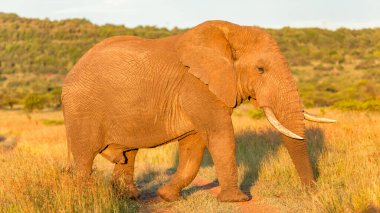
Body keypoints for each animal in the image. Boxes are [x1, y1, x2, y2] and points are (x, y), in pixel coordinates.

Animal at [61, 20, 336, 202]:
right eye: (261, 69)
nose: (310, 191)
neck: (231, 32)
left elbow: (194, 145)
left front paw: (168, 197)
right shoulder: (196, 86)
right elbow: (220, 133)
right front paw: (237, 200)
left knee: (128, 155)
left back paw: (129, 197)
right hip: (81, 109)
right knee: (85, 157)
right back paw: (84, 198)